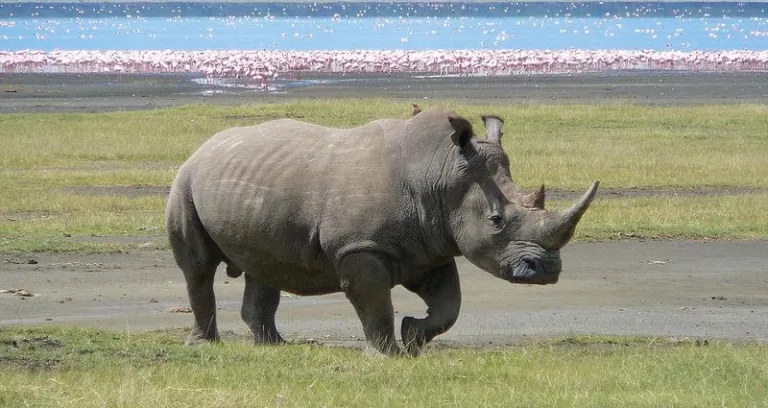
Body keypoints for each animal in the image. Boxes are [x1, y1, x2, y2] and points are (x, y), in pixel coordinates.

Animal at [166, 108, 600, 356]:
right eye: (495, 221)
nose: (546, 271)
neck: (440, 174)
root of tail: (204, 147)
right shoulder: (360, 248)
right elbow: (374, 304)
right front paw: (387, 354)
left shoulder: (430, 247)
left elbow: (450, 305)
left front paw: (413, 338)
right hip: (184, 181)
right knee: (198, 269)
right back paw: (205, 345)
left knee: (263, 264)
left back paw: (273, 347)